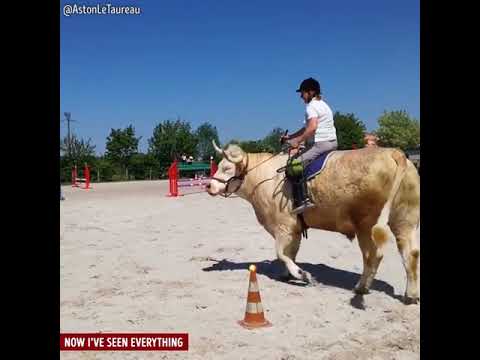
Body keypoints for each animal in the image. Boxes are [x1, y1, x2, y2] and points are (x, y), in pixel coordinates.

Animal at [206, 142, 420, 302]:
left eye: (226, 168)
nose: (208, 185)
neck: (265, 177)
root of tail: (393, 153)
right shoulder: (295, 229)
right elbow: (290, 253)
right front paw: (288, 274)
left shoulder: (284, 226)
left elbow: (281, 253)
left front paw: (301, 274)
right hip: (405, 221)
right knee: (410, 254)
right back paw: (410, 295)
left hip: (366, 226)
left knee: (373, 256)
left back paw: (361, 287)